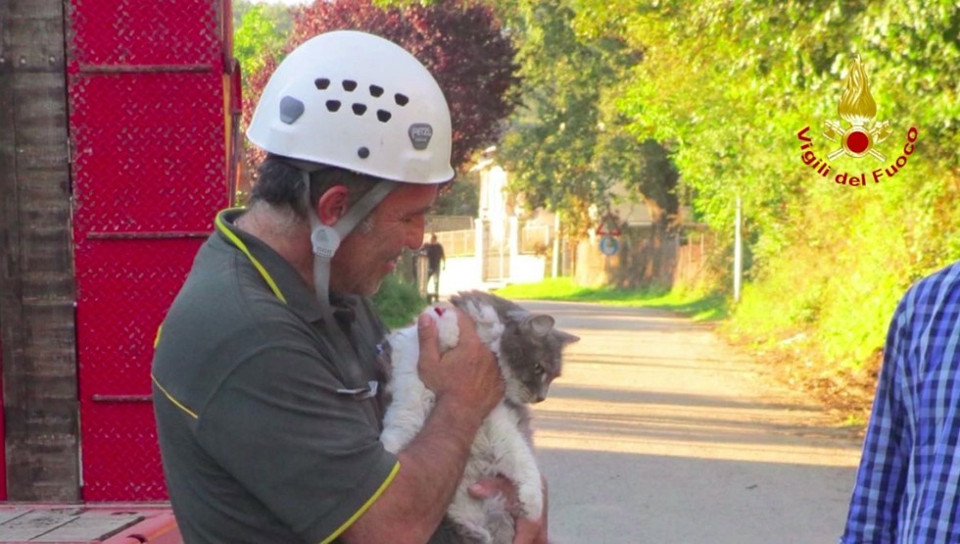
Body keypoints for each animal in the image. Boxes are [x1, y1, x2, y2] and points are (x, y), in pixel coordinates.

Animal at [380, 292, 576, 540]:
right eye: (538, 368)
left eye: (551, 376)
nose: (541, 398)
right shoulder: (410, 381)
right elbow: (401, 425)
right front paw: (446, 324)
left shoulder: (500, 422)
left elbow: (524, 462)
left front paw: (532, 505)